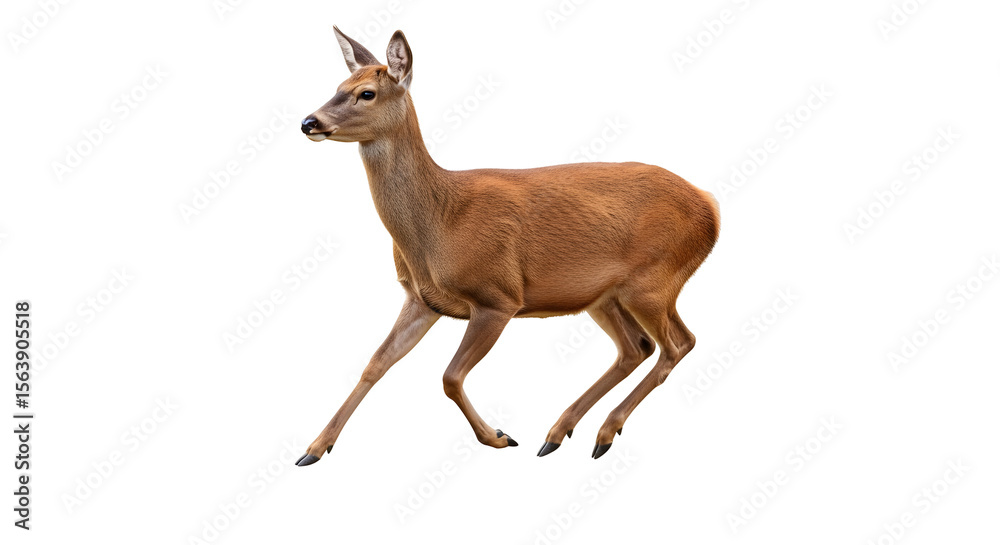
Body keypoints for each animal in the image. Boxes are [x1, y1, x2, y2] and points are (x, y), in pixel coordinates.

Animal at [294, 27, 720, 466]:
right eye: (337, 86)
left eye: (366, 93)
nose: (309, 122)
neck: (439, 224)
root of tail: (711, 207)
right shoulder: (422, 300)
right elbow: (375, 365)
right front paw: (314, 448)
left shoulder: (497, 296)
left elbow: (450, 376)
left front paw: (498, 437)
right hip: (603, 296)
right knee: (638, 348)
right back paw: (560, 433)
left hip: (653, 280)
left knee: (677, 344)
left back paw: (601, 433)